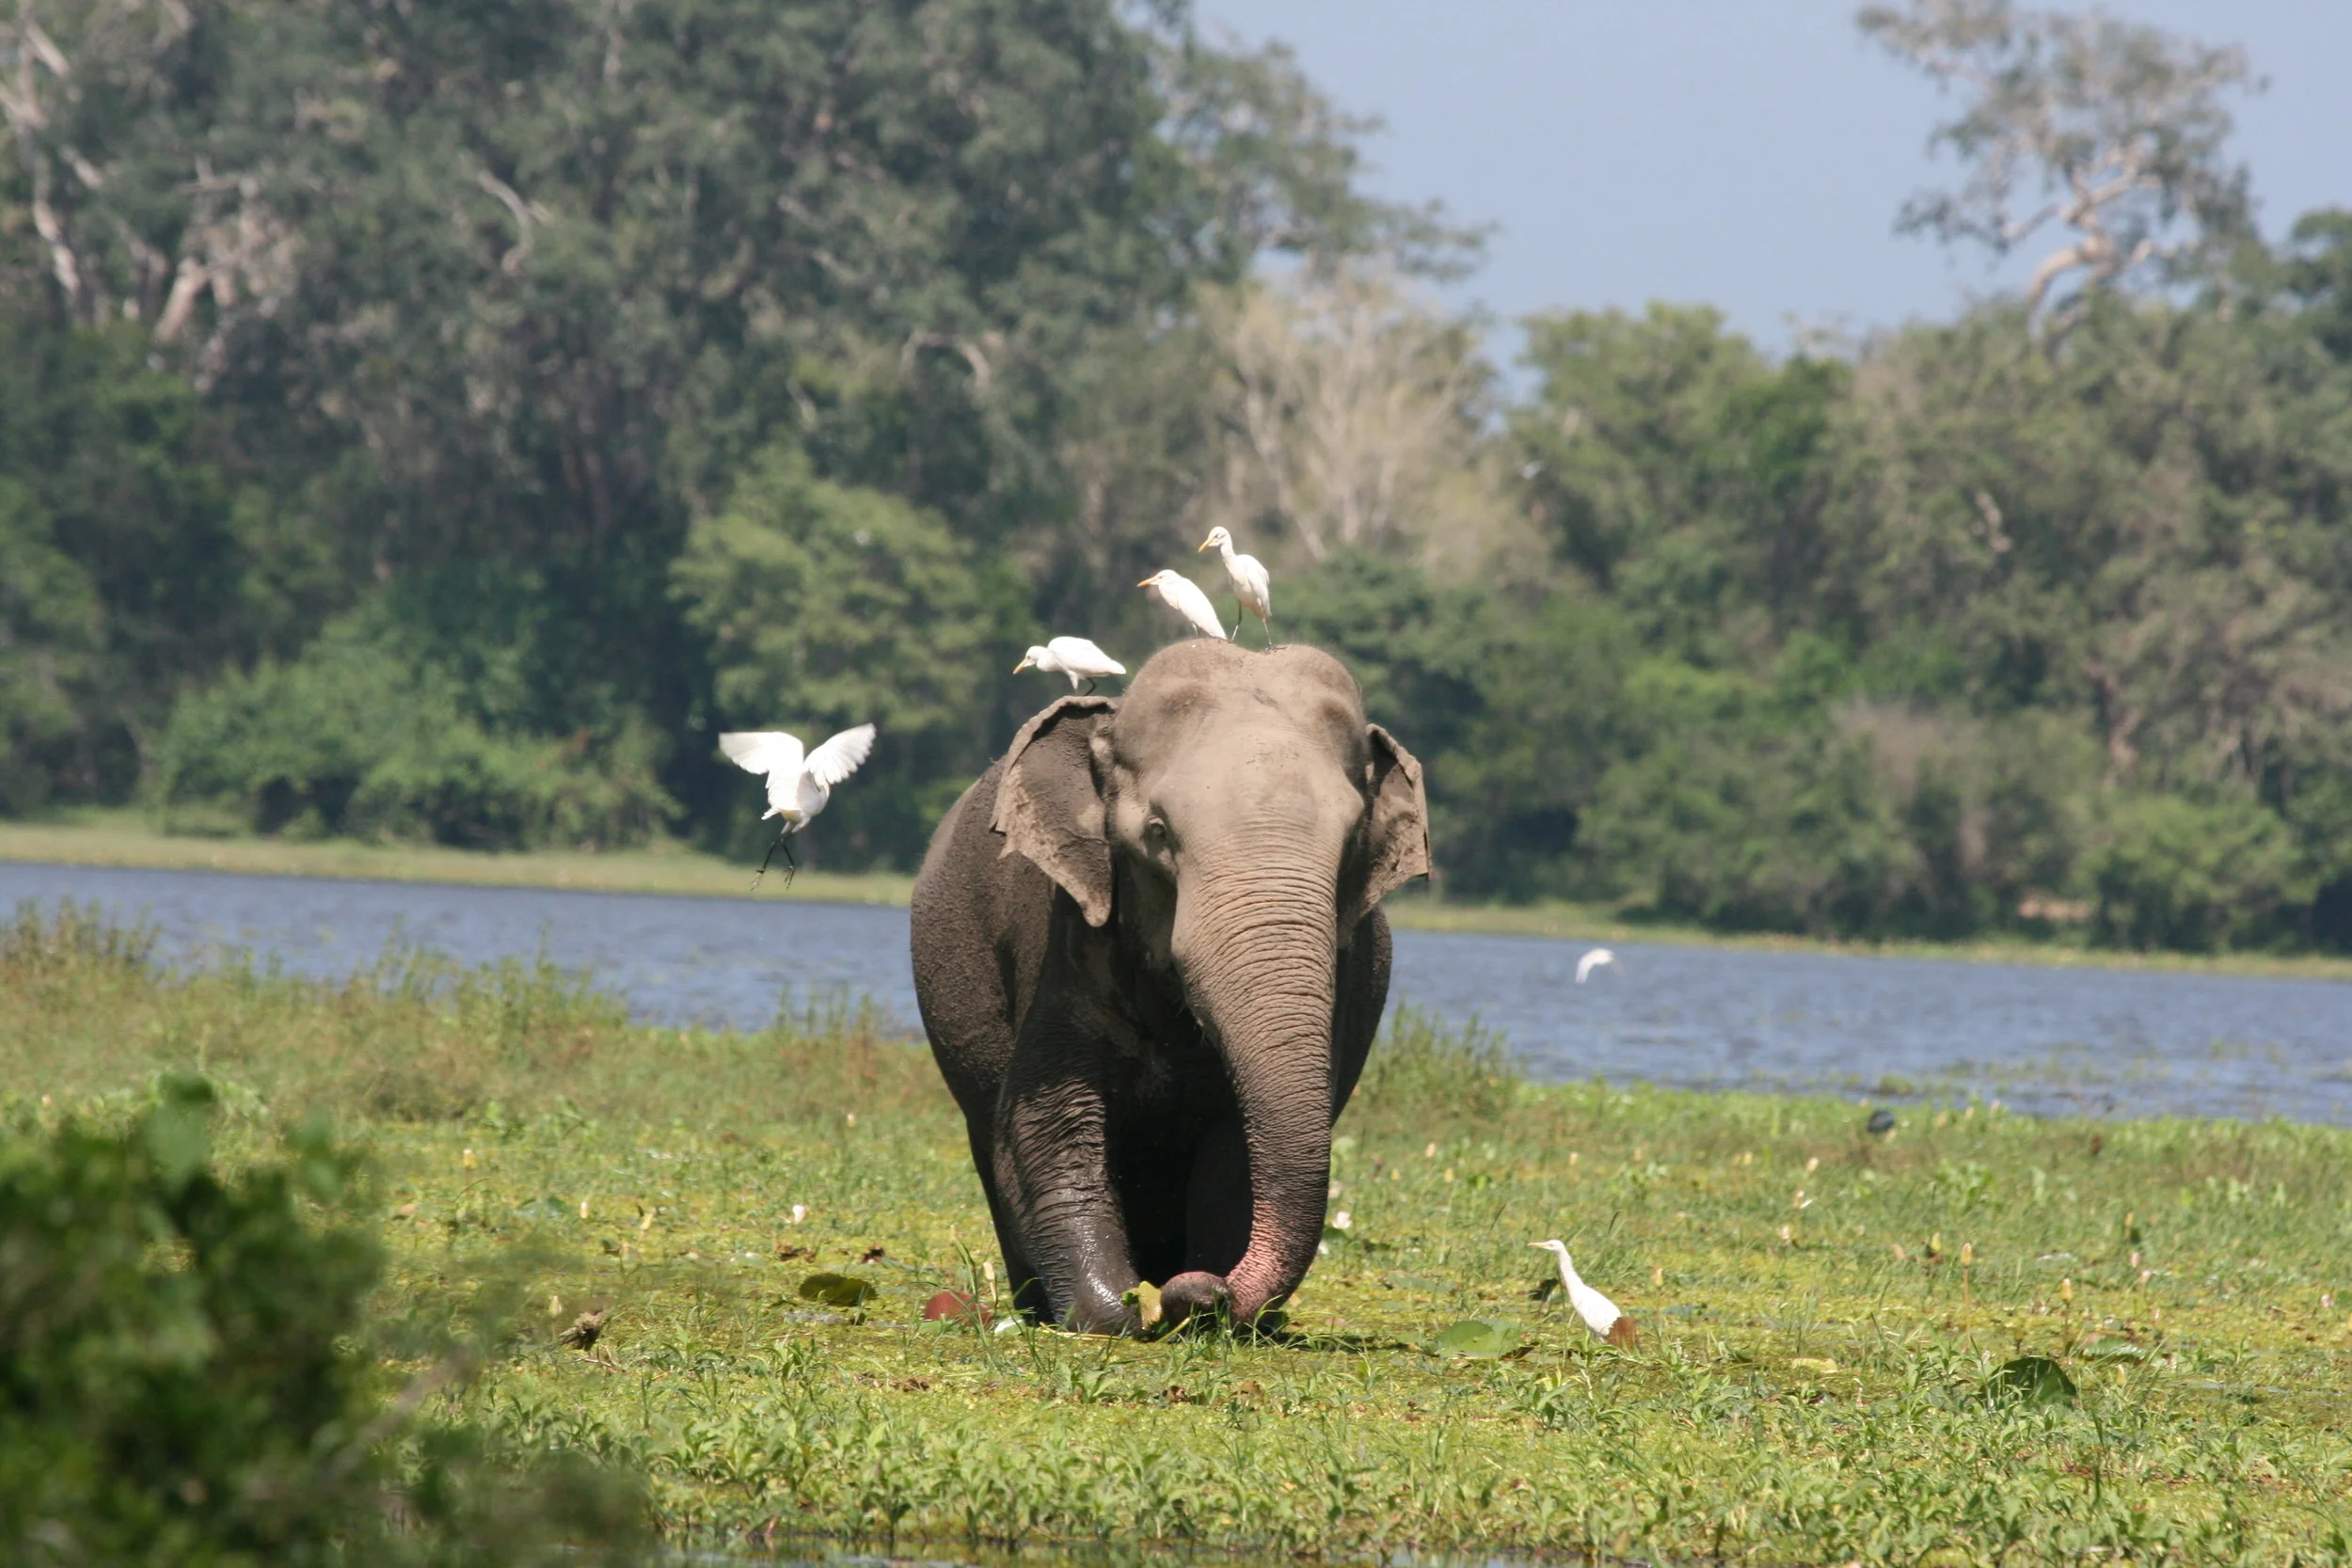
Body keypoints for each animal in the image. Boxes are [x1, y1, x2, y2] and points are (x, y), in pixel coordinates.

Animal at [909, 638, 1429, 1333]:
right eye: (1158, 834)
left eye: (1349, 845)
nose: (1195, 1292)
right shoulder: (1063, 938)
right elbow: (1051, 1120)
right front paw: (1115, 1312)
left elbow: (1235, 1150)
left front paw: (1197, 1305)